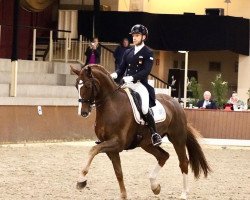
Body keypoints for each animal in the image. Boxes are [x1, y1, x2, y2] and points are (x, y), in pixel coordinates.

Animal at [71, 65, 211, 199]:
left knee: (183, 162)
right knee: (163, 156)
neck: (111, 105)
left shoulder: (117, 143)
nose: (83, 112)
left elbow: (93, 150)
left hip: (177, 138)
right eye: (76, 85)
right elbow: (118, 172)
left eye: (88, 85)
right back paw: (155, 186)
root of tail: (175, 102)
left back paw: (184, 193)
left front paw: (81, 180)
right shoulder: (111, 147)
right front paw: (123, 195)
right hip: (147, 144)